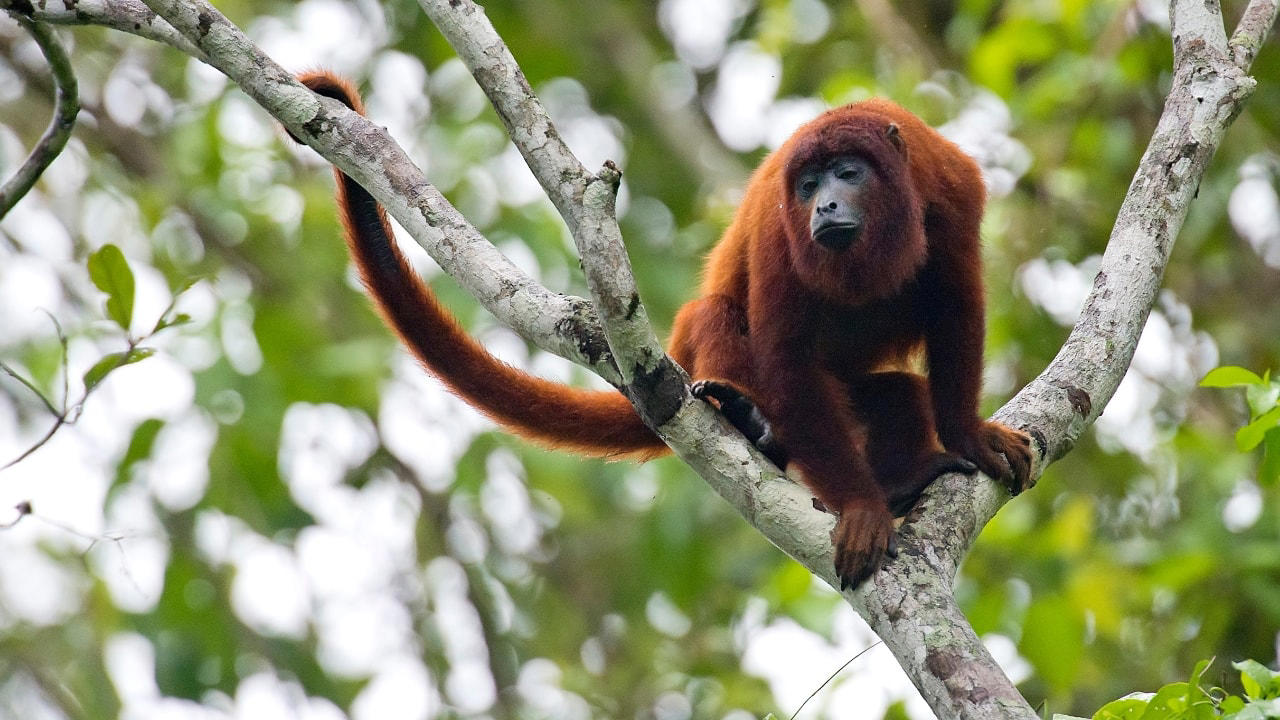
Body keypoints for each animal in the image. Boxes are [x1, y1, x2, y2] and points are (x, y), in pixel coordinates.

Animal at [292, 71, 1032, 590]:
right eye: (806, 186)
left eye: (848, 174)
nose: (824, 204)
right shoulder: (776, 228)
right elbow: (784, 350)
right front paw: (861, 508)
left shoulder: (953, 190)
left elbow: (959, 308)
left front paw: (968, 437)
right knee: (718, 319)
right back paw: (750, 422)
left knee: (901, 393)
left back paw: (903, 477)